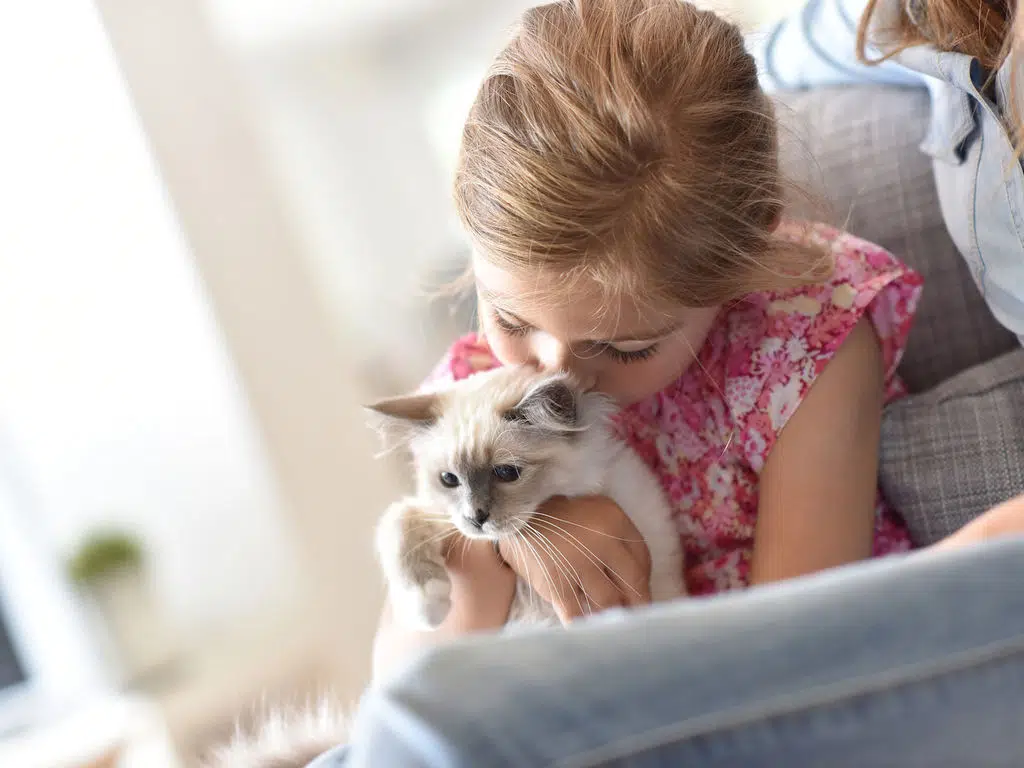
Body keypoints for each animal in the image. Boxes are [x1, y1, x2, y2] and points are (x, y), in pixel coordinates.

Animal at [370, 368, 688, 630]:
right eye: (449, 479)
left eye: (506, 473)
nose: (476, 517)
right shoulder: (447, 520)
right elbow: (398, 519)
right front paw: (427, 609)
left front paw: (429, 610)